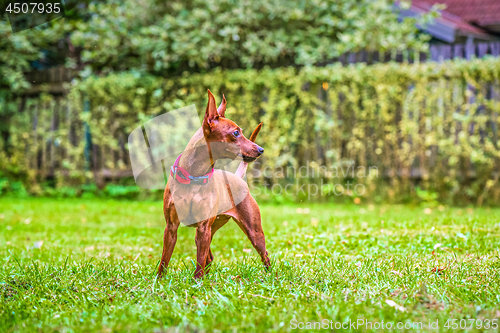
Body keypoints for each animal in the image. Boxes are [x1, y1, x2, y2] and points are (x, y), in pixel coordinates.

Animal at [159, 89, 270, 278]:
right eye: (236, 133)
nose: (261, 149)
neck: (194, 177)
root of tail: (237, 178)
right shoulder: (171, 227)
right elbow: (164, 260)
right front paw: (159, 281)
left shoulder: (204, 227)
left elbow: (200, 261)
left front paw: (197, 282)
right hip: (210, 229)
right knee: (209, 257)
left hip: (253, 232)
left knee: (265, 255)